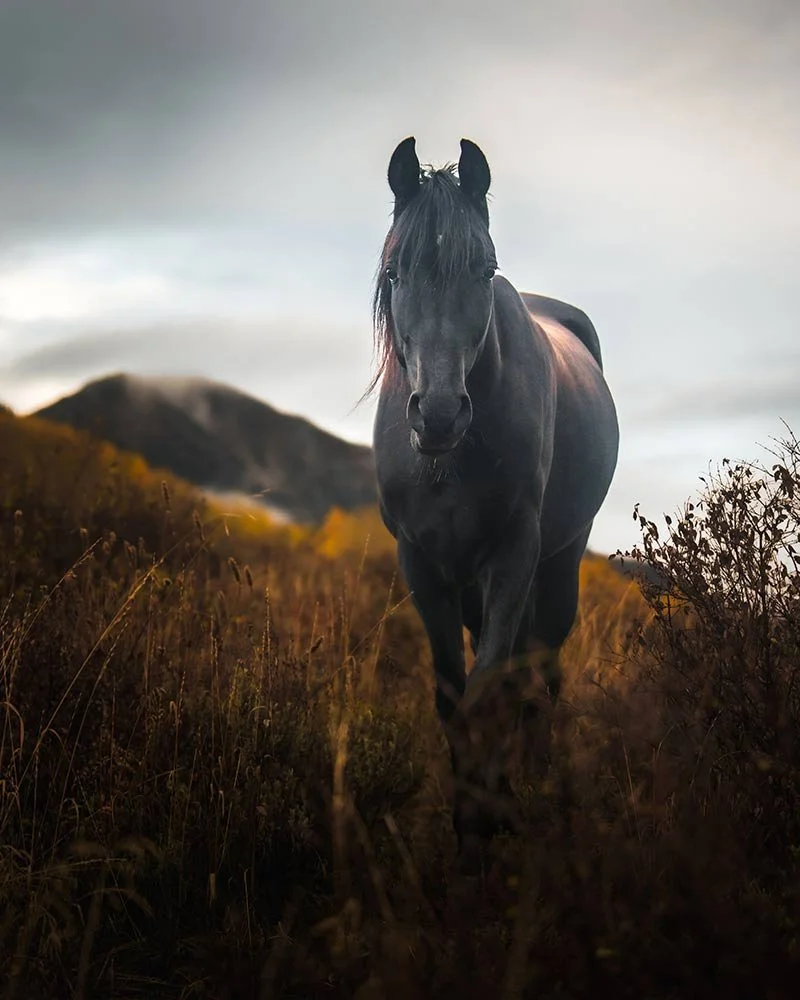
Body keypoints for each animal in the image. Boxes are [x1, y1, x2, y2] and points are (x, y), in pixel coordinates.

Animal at [371, 137, 619, 869]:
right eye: (395, 270)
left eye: (484, 271)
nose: (438, 415)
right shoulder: (422, 564)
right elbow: (453, 695)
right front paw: (471, 815)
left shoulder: (514, 554)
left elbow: (489, 690)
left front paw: (488, 818)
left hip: (559, 562)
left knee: (541, 672)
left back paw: (535, 781)